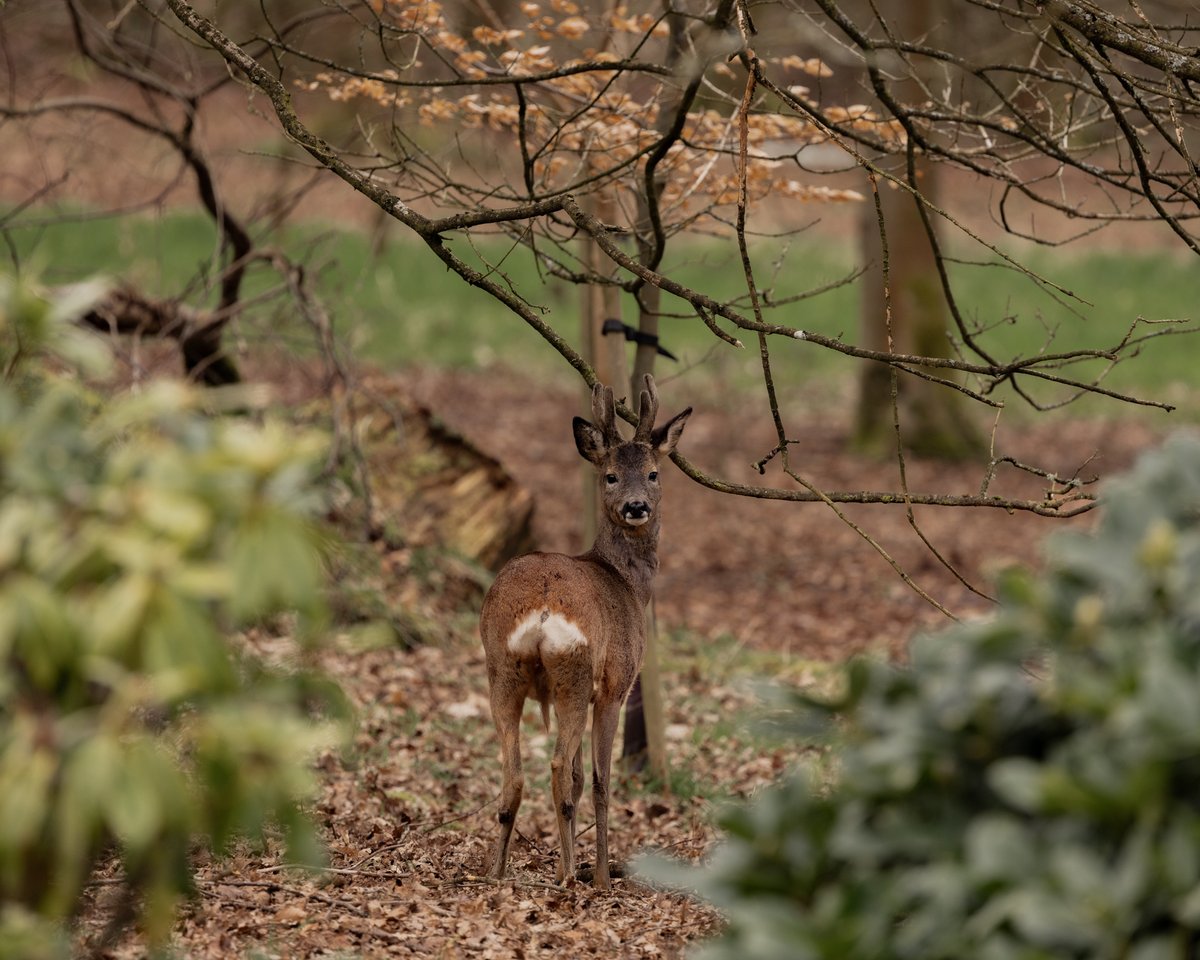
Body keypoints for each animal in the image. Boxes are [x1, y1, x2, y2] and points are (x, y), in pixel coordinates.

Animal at [479, 375, 691, 891]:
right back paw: (573, 879)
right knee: (558, 767)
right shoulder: (615, 684)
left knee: (515, 773)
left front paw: (564, 862)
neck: (628, 584)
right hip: (574, 670)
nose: (636, 507)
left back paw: (497, 872)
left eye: (653, 473)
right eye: (610, 475)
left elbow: (578, 778)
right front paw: (597, 875)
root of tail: (541, 607)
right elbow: (596, 781)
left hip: (501, 668)